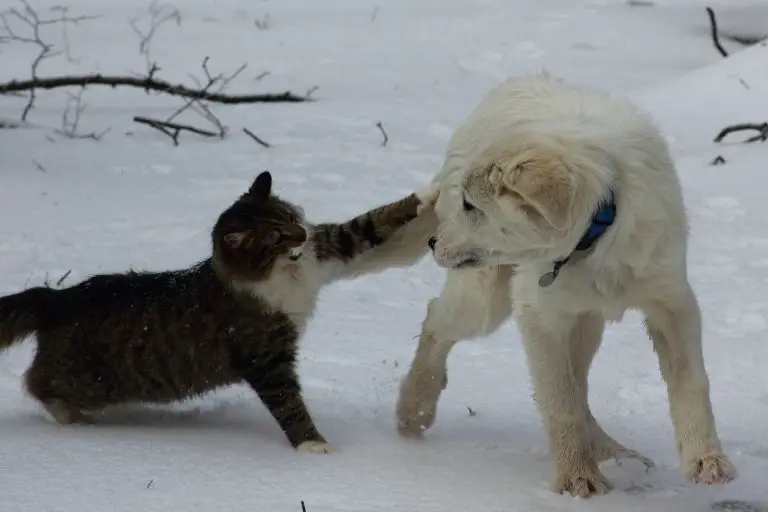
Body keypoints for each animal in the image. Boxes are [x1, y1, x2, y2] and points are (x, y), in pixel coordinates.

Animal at [0, 171, 438, 452]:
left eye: (291, 217)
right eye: (276, 237)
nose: (303, 234)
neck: (287, 274)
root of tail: (56, 297)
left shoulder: (330, 248)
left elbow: (371, 222)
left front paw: (428, 196)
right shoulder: (266, 356)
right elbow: (289, 404)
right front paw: (313, 446)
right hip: (89, 379)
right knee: (35, 382)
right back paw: (71, 418)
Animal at [350, 74, 736, 498]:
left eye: (473, 206)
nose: (434, 242)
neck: (600, 230)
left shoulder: (672, 302)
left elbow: (691, 382)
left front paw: (706, 461)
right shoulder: (539, 313)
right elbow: (560, 400)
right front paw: (577, 479)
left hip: (585, 319)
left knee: (579, 382)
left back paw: (609, 449)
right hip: (488, 297)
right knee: (437, 319)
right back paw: (414, 410)